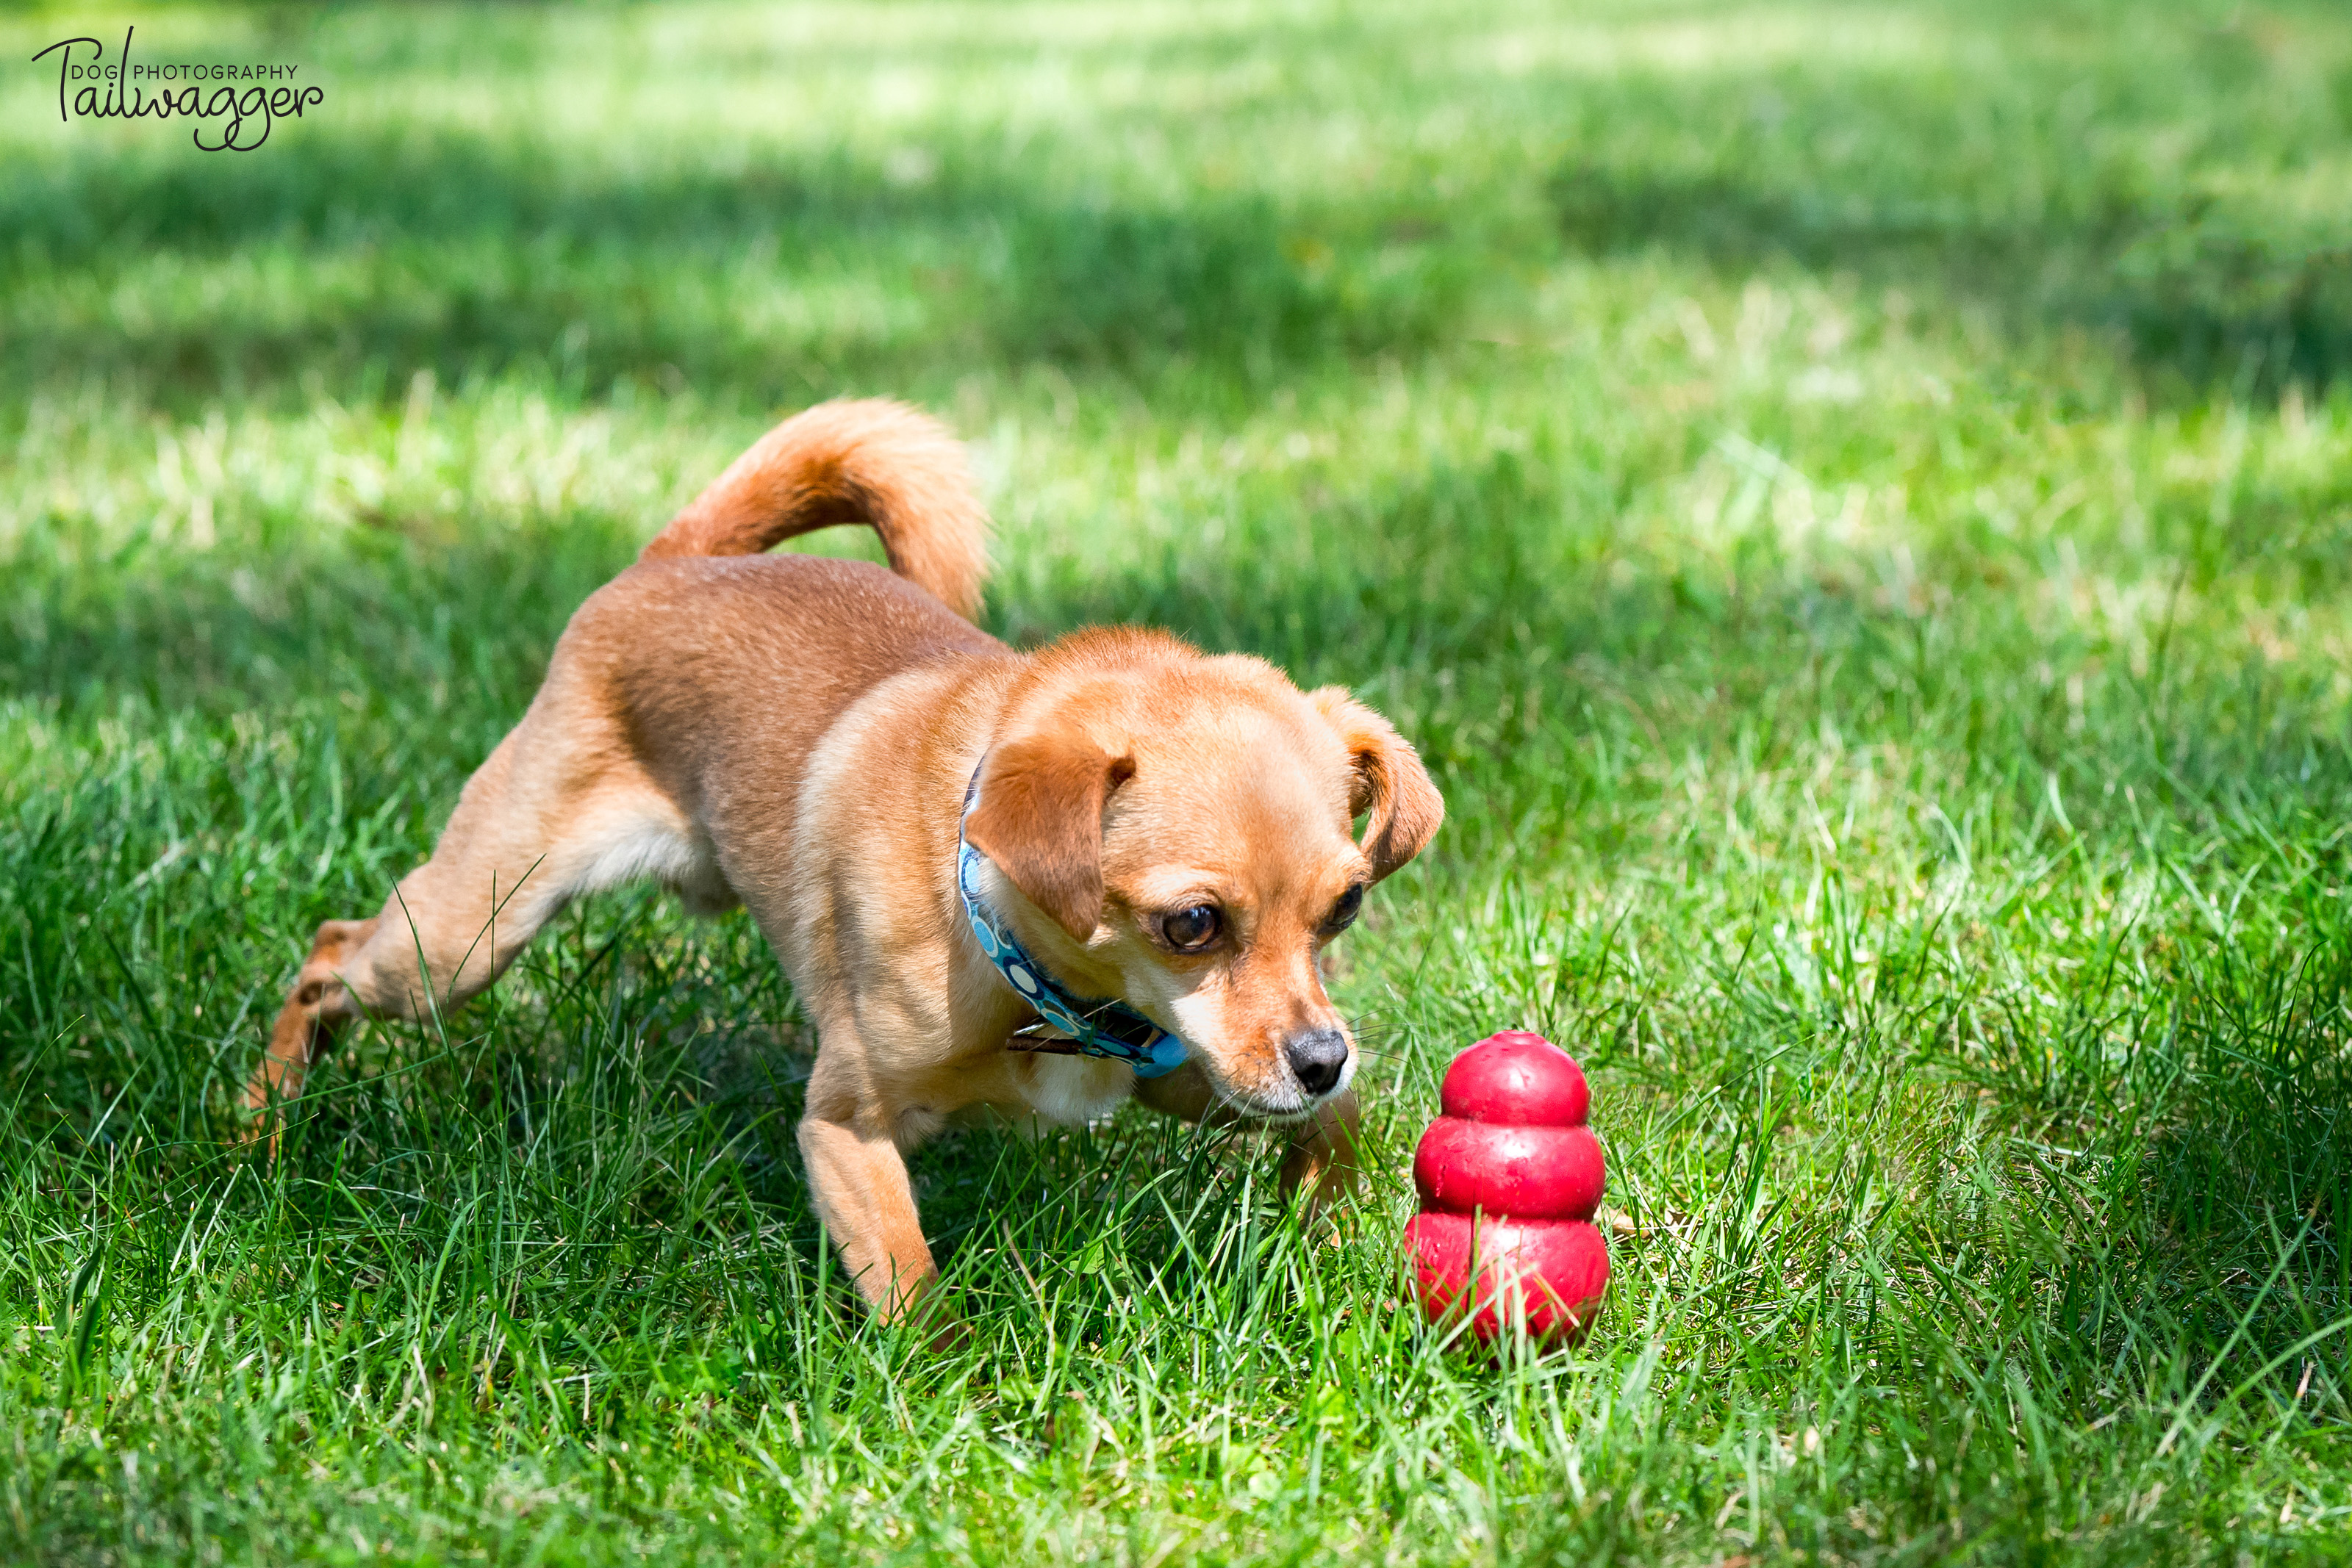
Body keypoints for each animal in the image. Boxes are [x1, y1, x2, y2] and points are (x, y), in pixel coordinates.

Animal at [248, 399, 1439, 1316]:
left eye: (1343, 908)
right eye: (1190, 923)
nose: (1324, 1053)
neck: (1030, 978)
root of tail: (678, 563)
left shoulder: (1201, 1072)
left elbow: (1333, 1133)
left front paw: (1333, 1245)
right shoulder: (845, 1129)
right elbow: (911, 1284)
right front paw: (952, 1393)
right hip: (463, 939)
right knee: (331, 952)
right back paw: (263, 1125)